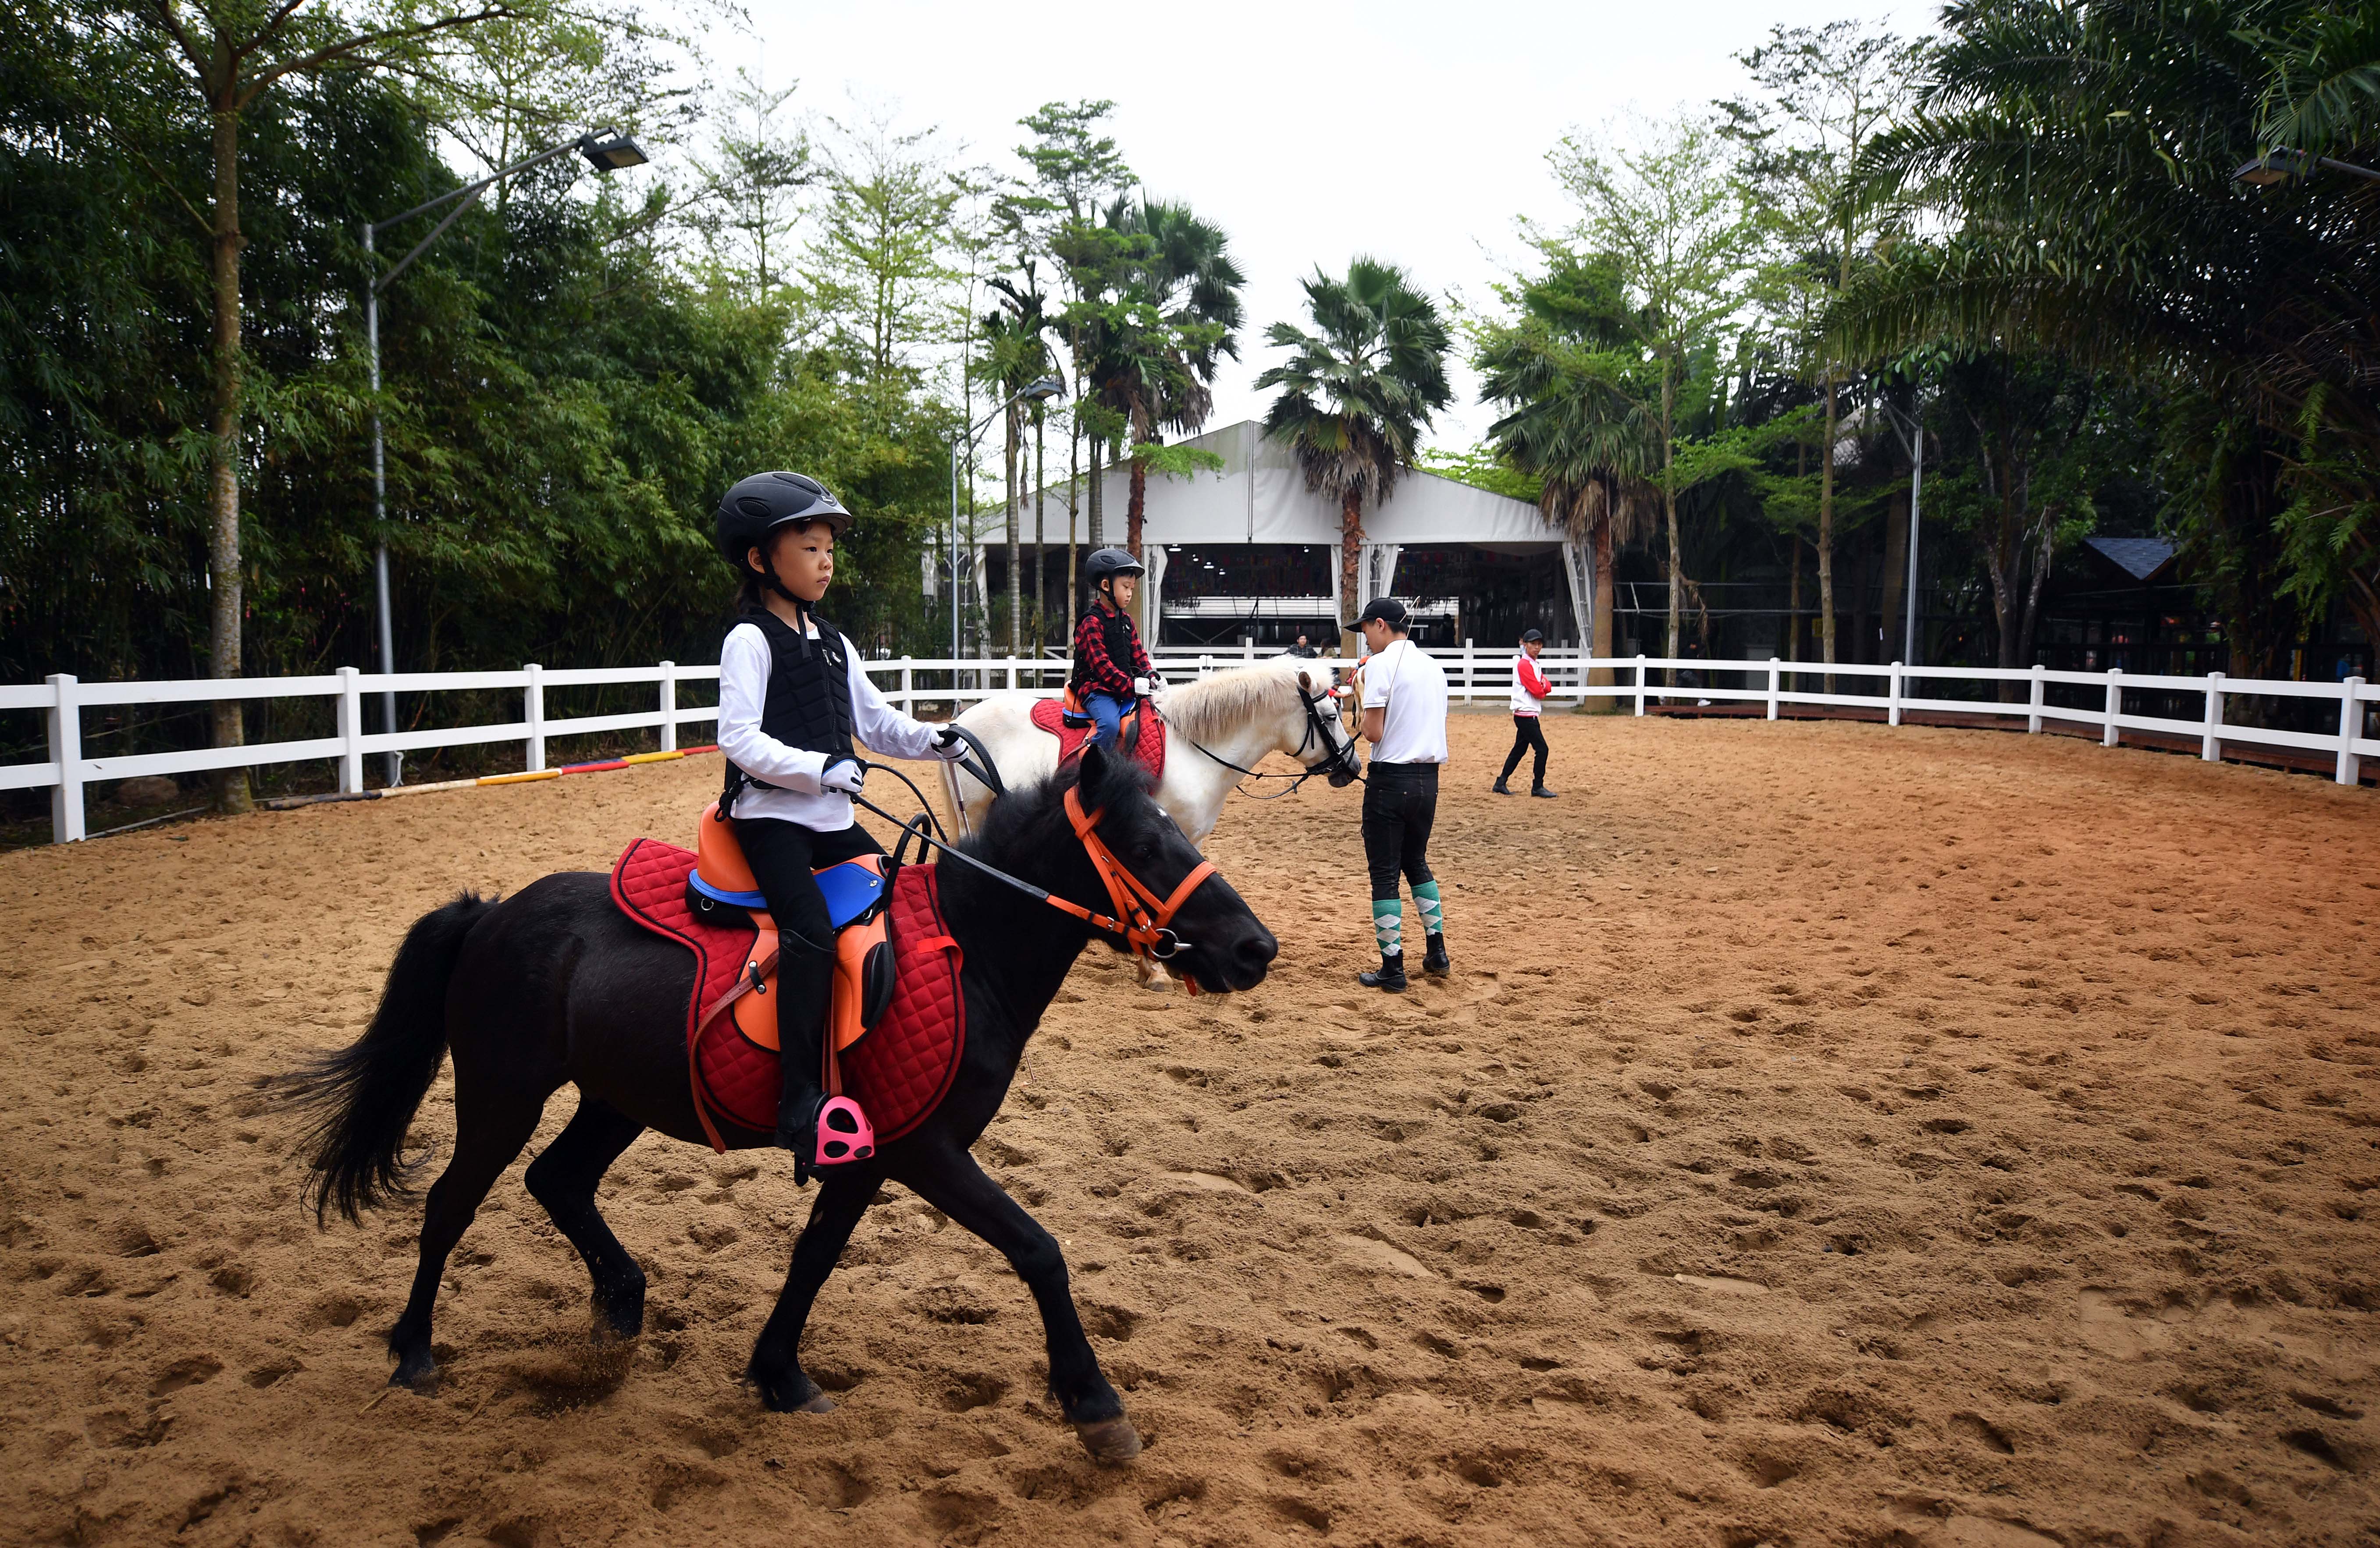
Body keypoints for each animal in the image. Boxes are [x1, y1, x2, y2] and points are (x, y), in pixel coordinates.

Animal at [288, 751, 1275, 1465]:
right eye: (1143, 846)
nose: (1252, 947)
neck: (969, 950)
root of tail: (491, 912)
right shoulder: (926, 1148)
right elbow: (1038, 1249)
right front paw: (1094, 1402)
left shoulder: (871, 1152)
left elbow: (814, 1256)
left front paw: (778, 1373)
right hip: (501, 1093)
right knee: (450, 1204)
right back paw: (413, 1352)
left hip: (617, 1096)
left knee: (557, 1180)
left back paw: (619, 1308)